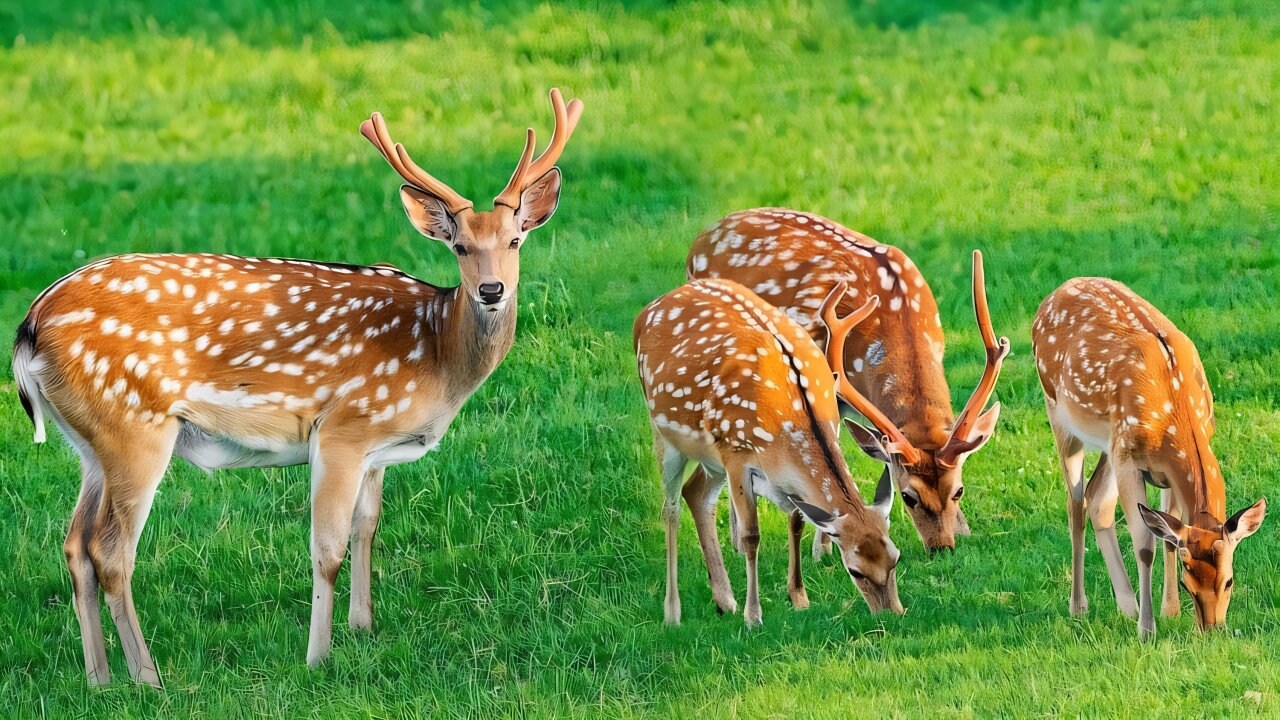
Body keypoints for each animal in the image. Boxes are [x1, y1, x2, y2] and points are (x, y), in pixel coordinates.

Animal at [10, 89, 583, 687]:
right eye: (460, 248)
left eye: (515, 240)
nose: (492, 290)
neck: (437, 352)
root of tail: (30, 324)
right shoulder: (344, 427)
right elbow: (326, 549)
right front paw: (318, 658)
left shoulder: (376, 449)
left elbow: (366, 528)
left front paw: (363, 628)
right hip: (133, 424)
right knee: (111, 550)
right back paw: (148, 678)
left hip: (89, 441)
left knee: (74, 542)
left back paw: (99, 679)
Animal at [633, 277, 904, 626]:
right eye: (855, 571)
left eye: (896, 558)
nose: (893, 614)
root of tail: (646, 313)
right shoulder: (736, 453)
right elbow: (751, 535)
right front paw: (753, 616)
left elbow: (798, 521)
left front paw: (799, 598)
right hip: (665, 433)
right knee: (671, 509)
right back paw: (673, 613)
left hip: (711, 458)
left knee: (696, 493)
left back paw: (724, 600)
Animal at [687, 208, 1008, 556]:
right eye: (908, 496)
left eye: (958, 490)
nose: (942, 547)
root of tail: (701, 238)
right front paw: (823, 553)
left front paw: (964, 530)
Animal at [1032, 277, 1266, 639]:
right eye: (1187, 584)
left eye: (1228, 580)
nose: (1211, 628)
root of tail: (1055, 293)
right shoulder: (1130, 460)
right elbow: (1145, 544)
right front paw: (1148, 629)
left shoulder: (1161, 469)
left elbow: (1169, 535)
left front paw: (1168, 612)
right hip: (1060, 414)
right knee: (1076, 503)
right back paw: (1079, 606)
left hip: (1111, 443)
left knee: (1097, 499)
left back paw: (1126, 605)